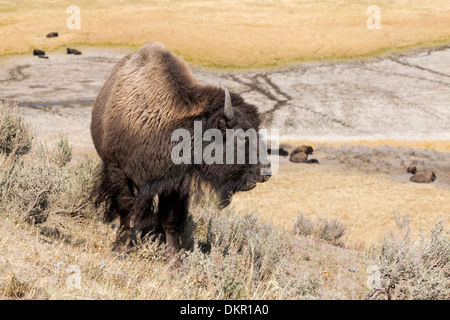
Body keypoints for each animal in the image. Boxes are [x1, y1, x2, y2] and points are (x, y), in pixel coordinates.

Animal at [89, 42, 268, 255]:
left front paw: (173, 256)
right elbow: (125, 207)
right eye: (241, 136)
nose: (265, 172)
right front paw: (122, 246)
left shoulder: (175, 183)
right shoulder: (117, 169)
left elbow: (170, 219)